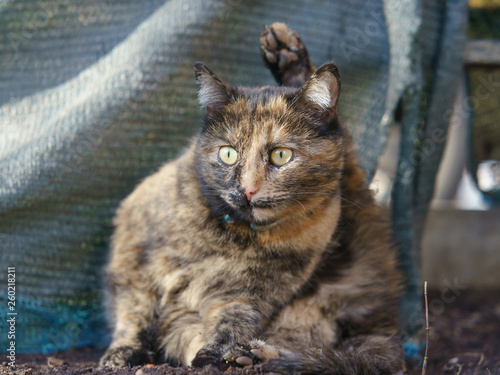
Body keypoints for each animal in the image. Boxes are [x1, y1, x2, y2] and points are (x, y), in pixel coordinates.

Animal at [99, 23, 404, 375]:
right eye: (228, 153)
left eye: (281, 155)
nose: (247, 189)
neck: (229, 237)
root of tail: (384, 324)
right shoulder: (133, 260)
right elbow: (133, 312)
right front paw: (122, 353)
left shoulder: (246, 295)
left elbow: (229, 323)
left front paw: (215, 356)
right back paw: (286, 51)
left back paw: (255, 356)